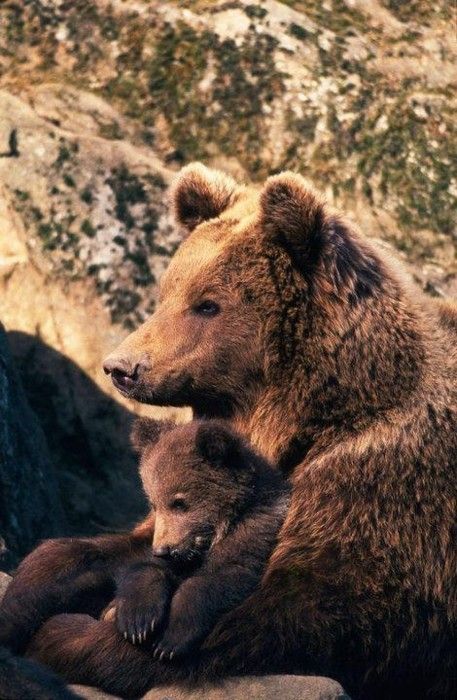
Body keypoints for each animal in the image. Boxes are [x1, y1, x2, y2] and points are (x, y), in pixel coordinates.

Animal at [0, 165, 456, 700]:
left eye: (207, 305)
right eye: (165, 293)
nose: (121, 367)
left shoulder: (378, 490)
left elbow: (284, 617)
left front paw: (67, 635)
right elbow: (105, 549)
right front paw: (38, 591)